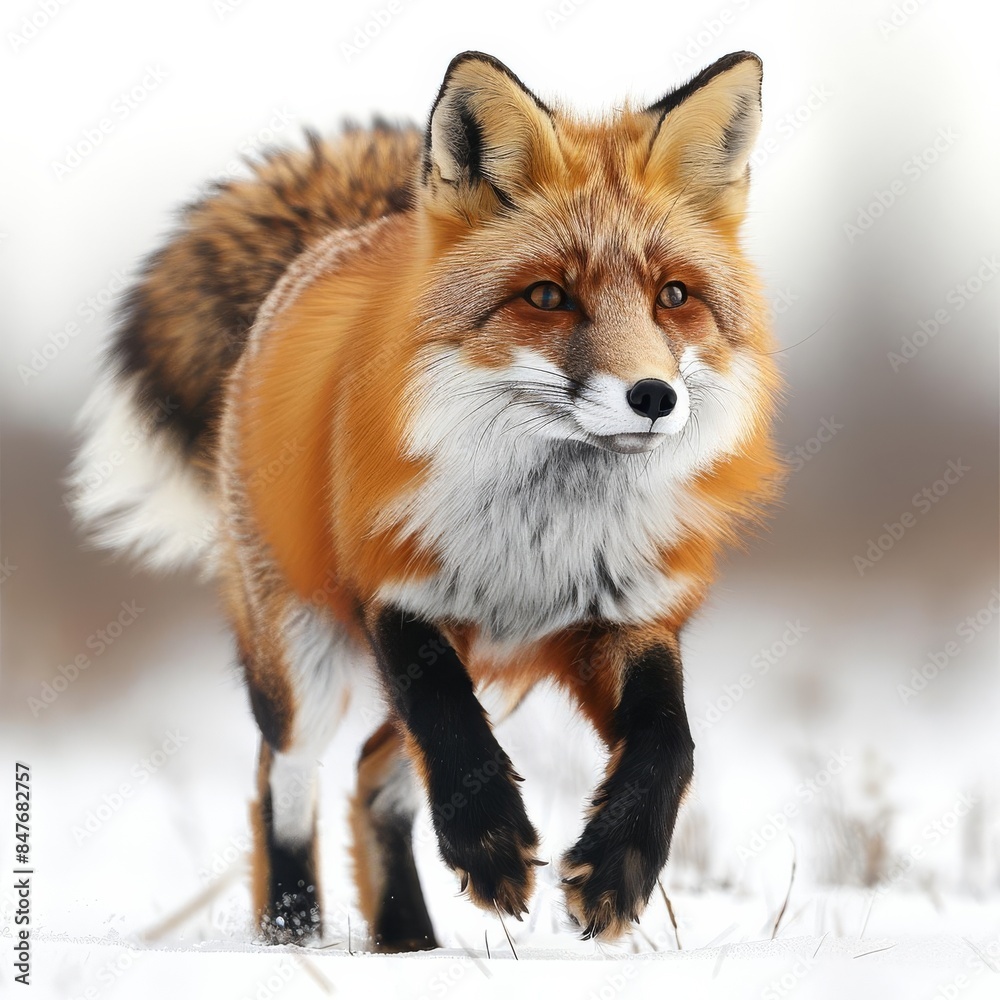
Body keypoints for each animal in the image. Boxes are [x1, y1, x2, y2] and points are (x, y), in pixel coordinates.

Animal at [69, 50, 782, 950]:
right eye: (547, 296)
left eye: (674, 296)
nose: (654, 397)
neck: (540, 534)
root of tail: (351, 234)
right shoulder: (397, 592)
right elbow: (445, 720)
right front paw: (490, 843)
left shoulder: (626, 616)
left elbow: (670, 742)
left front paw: (616, 868)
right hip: (304, 662)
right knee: (285, 774)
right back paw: (293, 928)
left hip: (503, 678)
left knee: (374, 774)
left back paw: (405, 941)